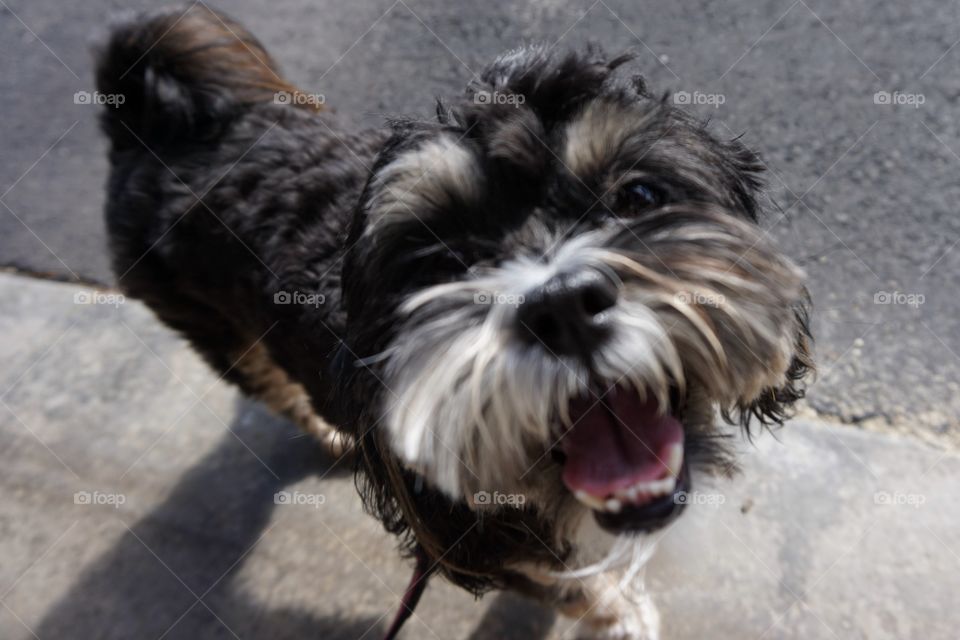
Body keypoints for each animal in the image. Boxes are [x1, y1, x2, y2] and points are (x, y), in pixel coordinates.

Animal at [95, 6, 808, 640]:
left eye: (637, 196)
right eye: (445, 264)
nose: (561, 305)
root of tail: (149, 130)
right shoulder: (469, 541)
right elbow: (575, 587)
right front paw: (619, 614)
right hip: (211, 326)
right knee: (268, 383)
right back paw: (329, 432)